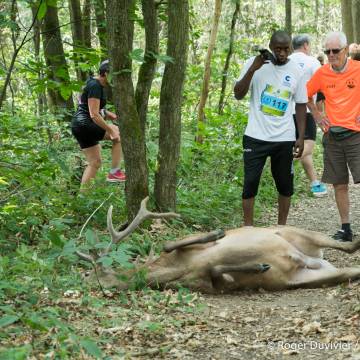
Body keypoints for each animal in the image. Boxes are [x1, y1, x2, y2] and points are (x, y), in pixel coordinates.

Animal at [76, 197, 360, 292]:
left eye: (93, 272)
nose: (84, 283)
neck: (174, 270)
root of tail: (315, 259)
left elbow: (170, 243)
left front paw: (217, 232)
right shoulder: (205, 285)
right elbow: (215, 271)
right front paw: (258, 267)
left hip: (291, 230)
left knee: (348, 246)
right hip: (312, 277)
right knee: (350, 270)